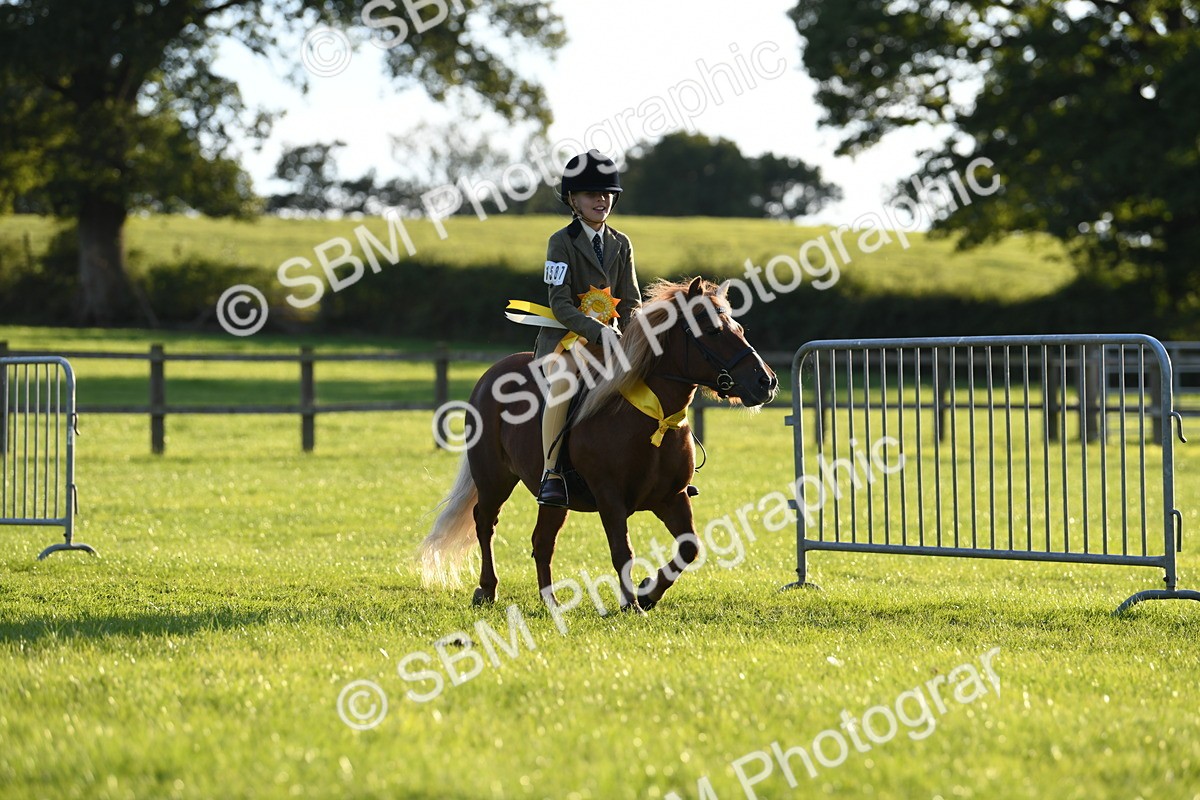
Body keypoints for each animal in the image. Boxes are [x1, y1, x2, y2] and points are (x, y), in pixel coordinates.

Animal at [418, 277, 778, 612]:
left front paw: (647, 593)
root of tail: (492, 373)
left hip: (553, 499)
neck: (652, 418)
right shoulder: (610, 496)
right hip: (494, 478)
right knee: (485, 524)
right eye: (714, 331)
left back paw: (551, 602)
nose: (766, 382)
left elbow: (689, 548)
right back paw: (487, 590)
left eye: (739, 328)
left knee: (542, 540)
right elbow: (622, 551)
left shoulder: (672, 498)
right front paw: (631, 604)